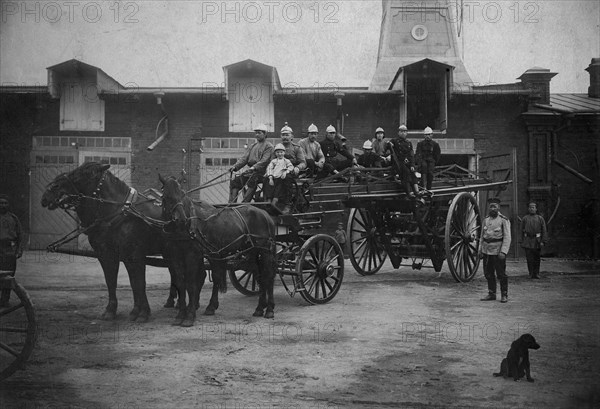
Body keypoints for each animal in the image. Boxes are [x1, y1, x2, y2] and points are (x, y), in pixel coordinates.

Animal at [40, 163, 173, 322]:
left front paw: (143, 312)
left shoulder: (135, 255)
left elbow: (139, 282)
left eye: (82, 174)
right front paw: (115, 310)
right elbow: (115, 281)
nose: (47, 193)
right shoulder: (108, 254)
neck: (120, 213)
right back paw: (172, 302)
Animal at [162, 174, 278, 320]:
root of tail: (266, 215)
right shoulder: (185, 254)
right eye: (166, 196)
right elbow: (186, 280)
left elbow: (207, 278)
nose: (181, 219)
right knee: (259, 275)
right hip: (252, 252)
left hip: (265, 251)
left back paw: (270, 309)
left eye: (182, 194)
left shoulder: (203, 254)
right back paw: (259, 308)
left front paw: (208, 306)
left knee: (268, 275)